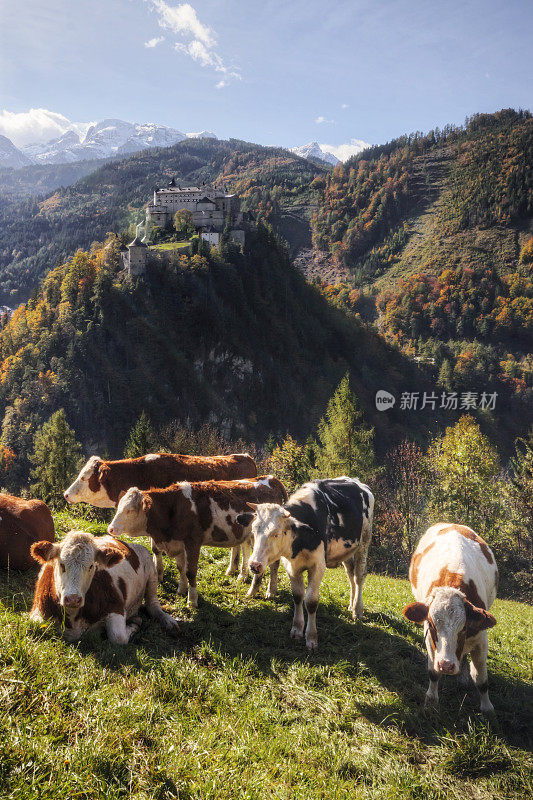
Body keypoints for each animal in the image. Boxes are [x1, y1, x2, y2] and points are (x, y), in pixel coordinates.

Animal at [29, 532, 179, 644]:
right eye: (61, 564)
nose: (73, 599)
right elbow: (35, 624)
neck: (72, 620)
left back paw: (168, 621)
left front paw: (134, 624)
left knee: (152, 605)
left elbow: (118, 637)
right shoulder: (37, 610)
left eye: (91, 566)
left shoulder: (116, 607)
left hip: (151, 569)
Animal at [63, 450, 256, 580]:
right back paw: (232, 569)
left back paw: (241, 573)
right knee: (237, 544)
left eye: (83, 477)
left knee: (245, 544)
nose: (65, 494)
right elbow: (155, 548)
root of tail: (245, 456)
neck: (141, 472)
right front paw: (158, 571)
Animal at [107, 476, 286, 608]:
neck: (173, 508)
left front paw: (192, 600)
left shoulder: (193, 543)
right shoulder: (178, 543)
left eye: (130, 510)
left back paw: (266, 590)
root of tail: (271, 479)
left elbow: (190, 571)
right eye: (118, 507)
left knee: (273, 564)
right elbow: (181, 567)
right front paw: (181, 589)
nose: (110, 529)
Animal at [241, 476, 374, 648]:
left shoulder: (318, 566)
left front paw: (311, 637)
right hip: (347, 550)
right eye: (254, 530)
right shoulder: (291, 566)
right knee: (350, 575)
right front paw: (297, 629)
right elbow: (298, 596)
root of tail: (354, 480)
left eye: (276, 533)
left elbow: (311, 601)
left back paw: (357, 609)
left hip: (364, 543)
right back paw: (351, 605)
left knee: (358, 577)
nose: (254, 565)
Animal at [404, 520, 498, 716]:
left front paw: (487, 707)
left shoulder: (481, 639)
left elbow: (481, 679)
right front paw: (431, 700)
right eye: (433, 625)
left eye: (464, 628)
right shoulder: (429, 638)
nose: (446, 665)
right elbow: (433, 672)